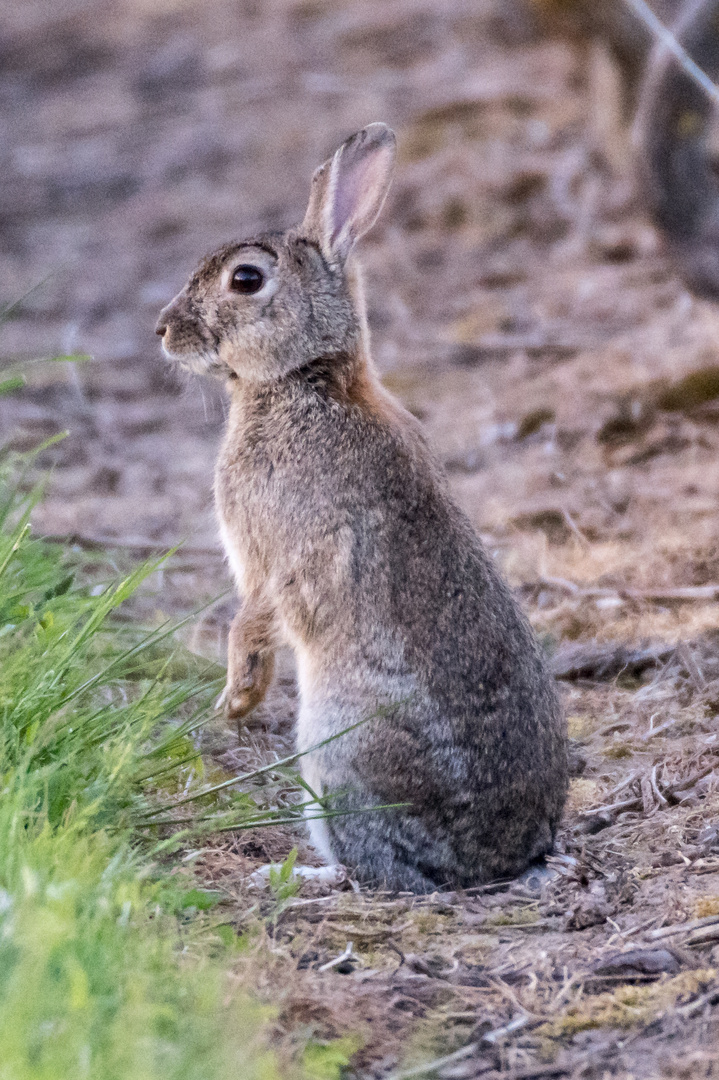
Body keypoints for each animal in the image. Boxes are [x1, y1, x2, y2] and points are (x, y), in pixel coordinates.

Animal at [156, 122, 565, 889]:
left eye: (245, 279)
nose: (163, 330)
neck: (304, 379)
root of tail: (497, 860)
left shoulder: (281, 554)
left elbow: (257, 618)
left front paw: (236, 699)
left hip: (336, 749)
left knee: (371, 869)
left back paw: (291, 876)